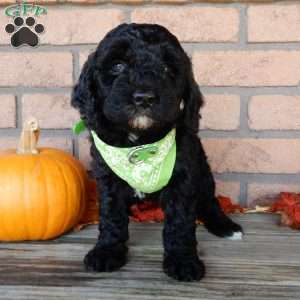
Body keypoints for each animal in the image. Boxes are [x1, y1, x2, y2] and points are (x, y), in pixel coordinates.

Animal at [72, 23, 244, 282]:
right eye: (118, 65)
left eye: (166, 68)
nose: (144, 98)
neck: (140, 142)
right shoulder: (107, 176)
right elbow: (111, 215)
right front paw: (107, 251)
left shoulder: (184, 176)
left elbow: (180, 221)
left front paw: (183, 260)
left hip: (203, 171)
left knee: (209, 201)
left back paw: (225, 226)